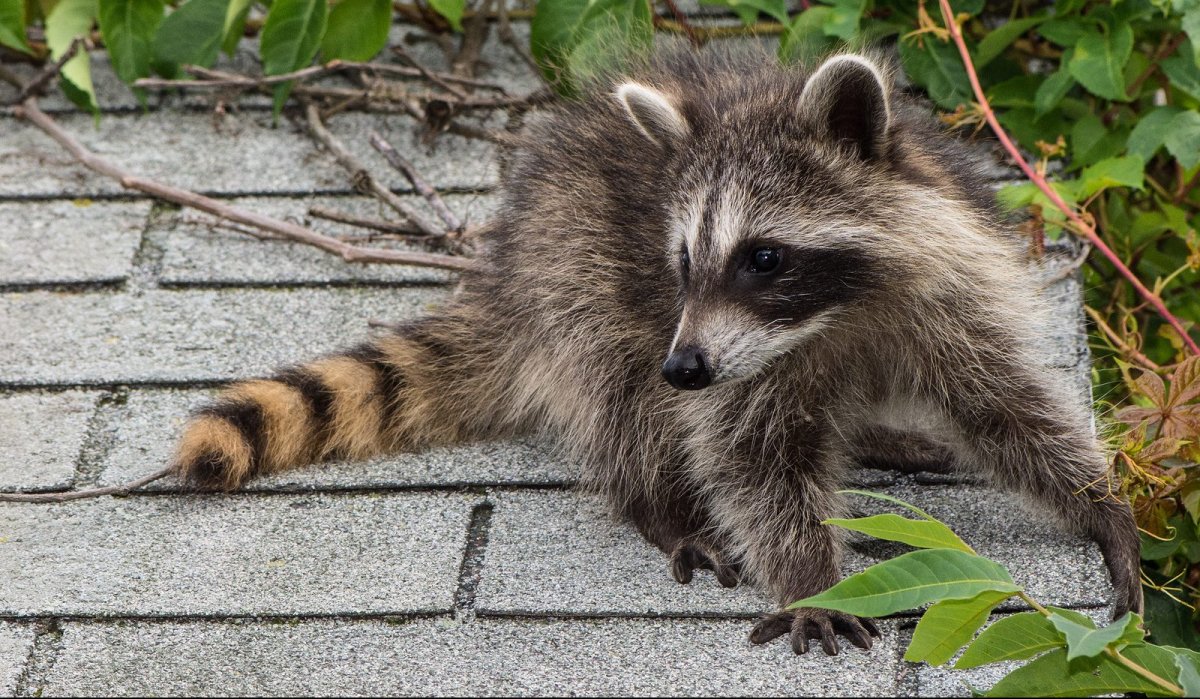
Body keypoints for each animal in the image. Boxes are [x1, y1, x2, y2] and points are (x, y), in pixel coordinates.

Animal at [171, 49, 1143, 655]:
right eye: (682, 260)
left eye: (763, 257)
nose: (687, 368)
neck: (832, 318)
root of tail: (507, 264)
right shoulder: (715, 347)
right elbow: (752, 458)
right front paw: (806, 577)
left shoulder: (947, 293)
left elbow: (1005, 404)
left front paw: (1097, 503)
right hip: (577, 273)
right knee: (620, 395)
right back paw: (660, 499)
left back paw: (876, 433)